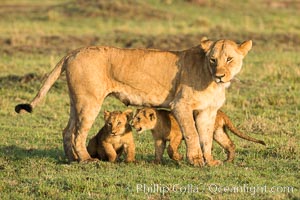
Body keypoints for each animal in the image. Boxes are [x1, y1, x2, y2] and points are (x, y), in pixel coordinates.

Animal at [15, 37, 252, 166]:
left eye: (229, 59)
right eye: (213, 59)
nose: (220, 75)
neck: (212, 81)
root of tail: (74, 51)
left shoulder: (207, 111)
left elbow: (206, 138)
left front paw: (210, 161)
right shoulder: (180, 105)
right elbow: (192, 134)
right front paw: (195, 160)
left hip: (76, 101)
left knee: (67, 130)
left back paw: (71, 159)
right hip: (89, 101)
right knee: (78, 133)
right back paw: (85, 159)